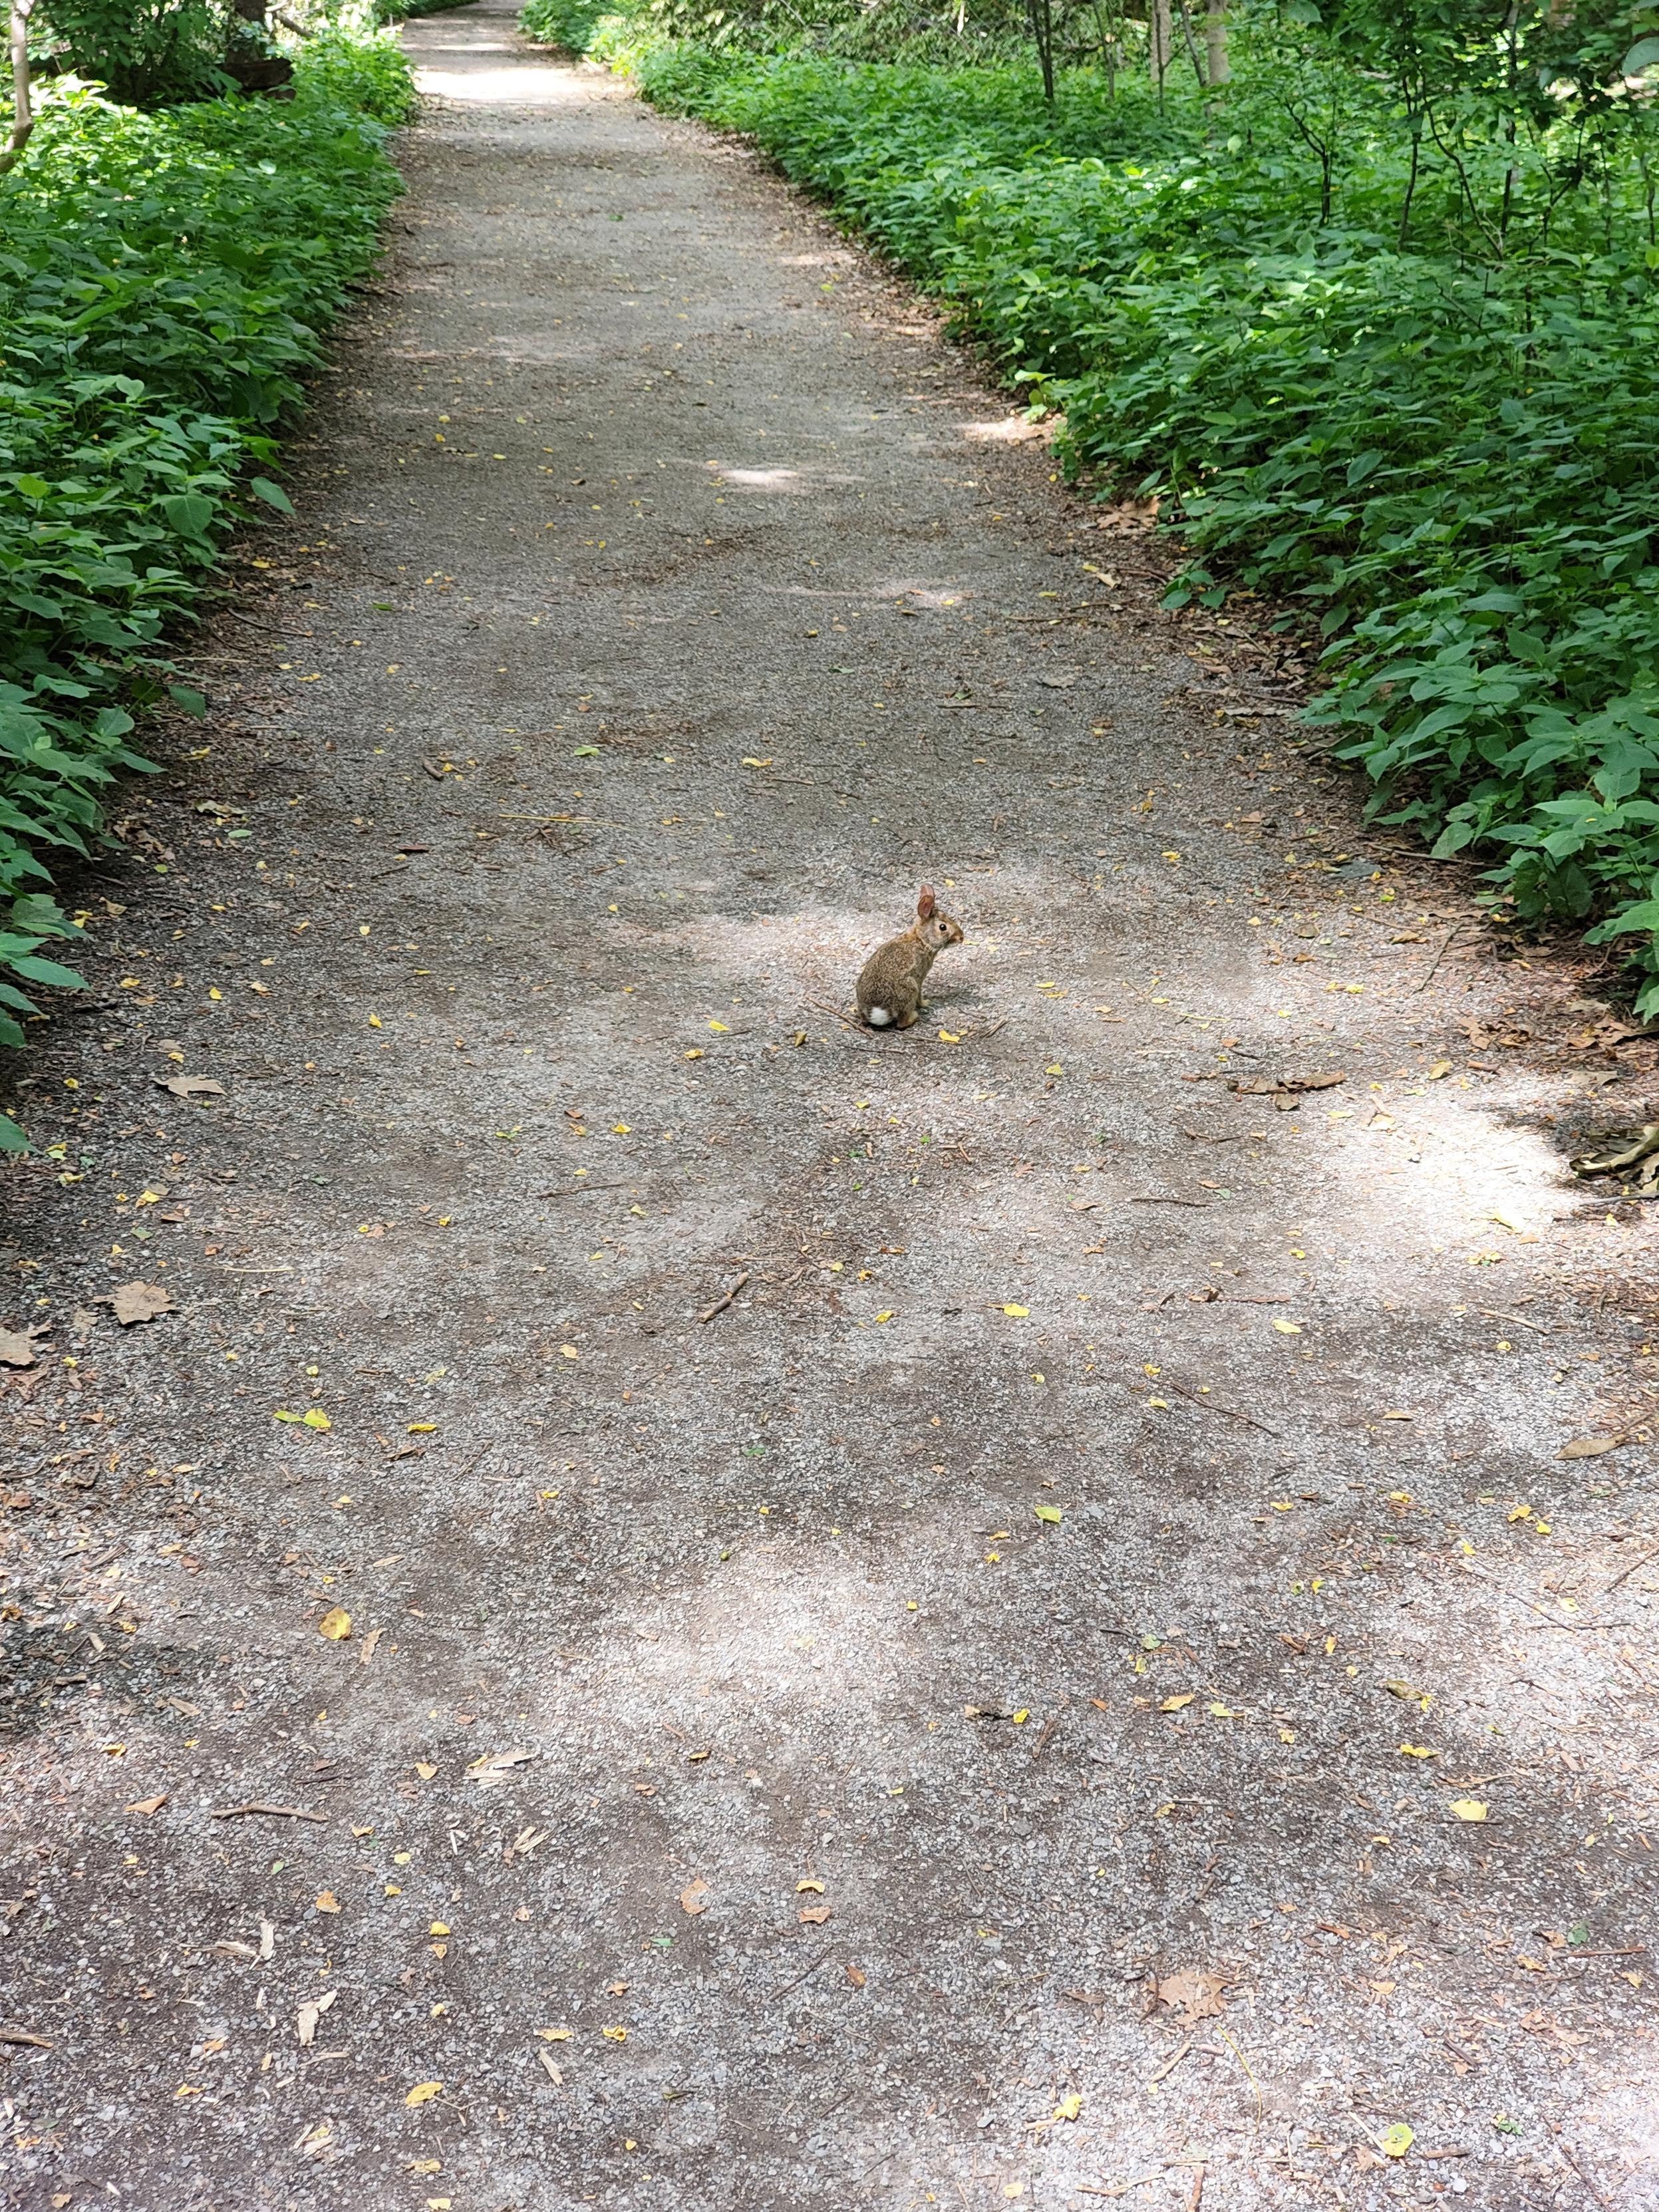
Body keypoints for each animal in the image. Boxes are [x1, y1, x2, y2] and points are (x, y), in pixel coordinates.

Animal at [856, 884, 964, 1029]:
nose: (961, 937)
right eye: (943, 927)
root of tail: (878, 1010)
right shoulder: (920, 977)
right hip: (910, 989)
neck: (921, 940)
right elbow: (920, 994)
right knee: (902, 1023)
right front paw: (925, 1003)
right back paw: (915, 1016)